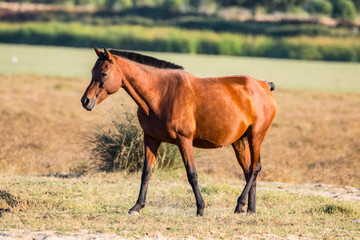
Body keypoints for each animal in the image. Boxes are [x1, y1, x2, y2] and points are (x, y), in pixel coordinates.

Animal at [81, 46, 278, 216]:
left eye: (104, 73)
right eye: (92, 72)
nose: (86, 101)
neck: (160, 93)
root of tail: (263, 85)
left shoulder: (184, 140)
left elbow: (192, 174)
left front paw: (201, 208)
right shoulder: (151, 139)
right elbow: (146, 173)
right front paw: (137, 206)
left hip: (255, 137)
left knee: (255, 169)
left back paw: (239, 205)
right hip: (240, 142)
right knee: (248, 170)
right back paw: (250, 209)